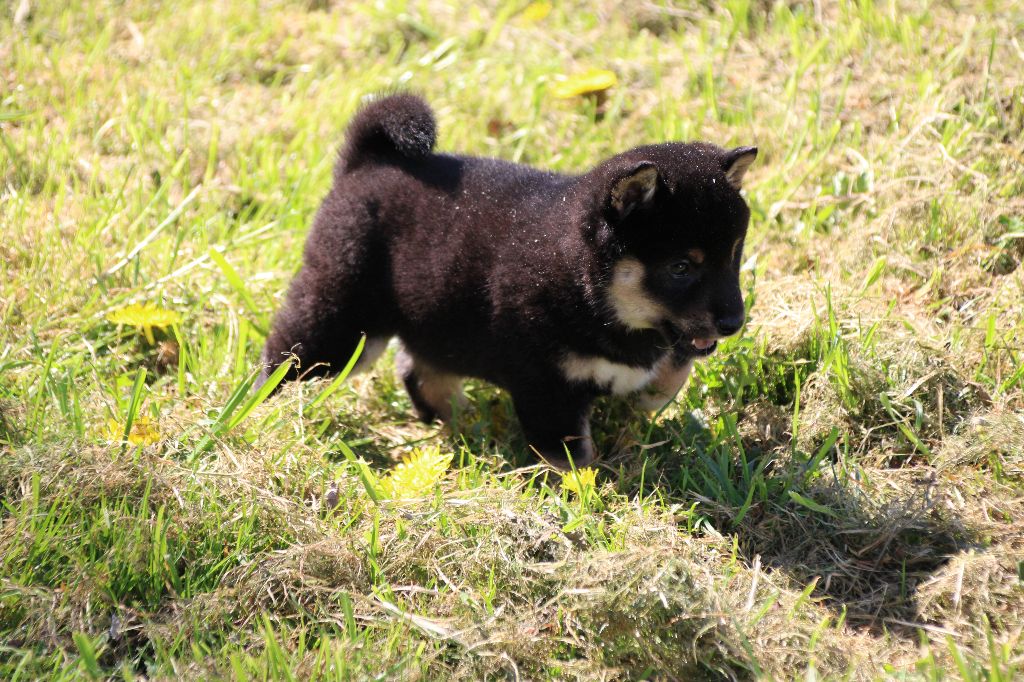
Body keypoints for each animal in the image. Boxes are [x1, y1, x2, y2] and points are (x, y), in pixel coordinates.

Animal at [259, 93, 756, 468]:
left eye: (734, 254)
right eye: (681, 267)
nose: (733, 322)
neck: (583, 284)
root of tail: (366, 164)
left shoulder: (660, 345)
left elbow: (668, 378)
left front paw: (647, 398)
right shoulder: (546, 387)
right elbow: (573, 456)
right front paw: (589, 495)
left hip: (433, 320)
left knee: (418, 370)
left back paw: (455, 420)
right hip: (343, 325)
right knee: (288, 357)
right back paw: (268, 413)